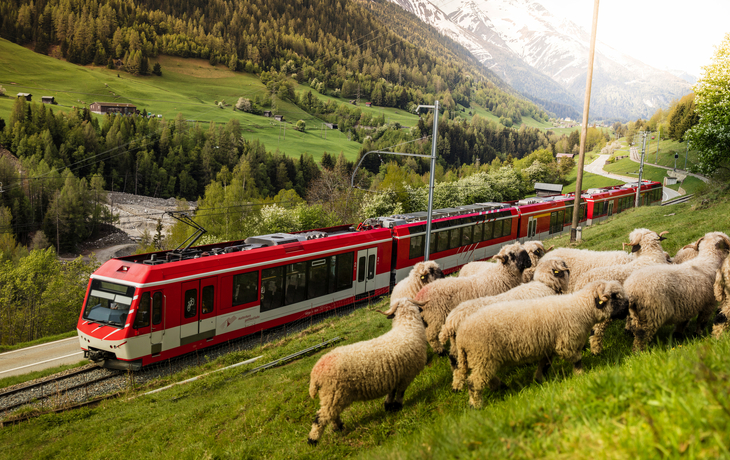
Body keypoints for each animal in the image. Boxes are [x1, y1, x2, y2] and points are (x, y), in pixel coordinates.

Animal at [307, 298, 428, 445]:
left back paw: (339, 428)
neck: (408, 327)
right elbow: (400, 393)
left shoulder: (395, 375)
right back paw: (313, 440)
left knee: (332, 414)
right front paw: (398, 406)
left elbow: (392, 392)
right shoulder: (406, 376)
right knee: (321, 418)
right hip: (333, 393)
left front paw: (388, 407)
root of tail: (315, 372)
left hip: (331, 396)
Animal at [440, 257, 570, 389]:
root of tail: (451, 322)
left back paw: (457, 386)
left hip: (460, 349)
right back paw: (499, 385)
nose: (569, 268)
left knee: (457, 364)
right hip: (478, 350)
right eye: (563, 264)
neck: (544, 284)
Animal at [454, 280, 629, 408]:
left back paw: (501, 386)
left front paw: (539, 379)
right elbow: (577, 360)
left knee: (484, 378)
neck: (580, 308)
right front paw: (581, 376)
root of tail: (461, 335)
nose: (628, 308)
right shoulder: (566, 343)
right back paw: (476, 406)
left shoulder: (549, 346)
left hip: (483, 359)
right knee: (474, 382)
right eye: (614, 296)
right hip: (483, 356)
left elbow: (545, 364)